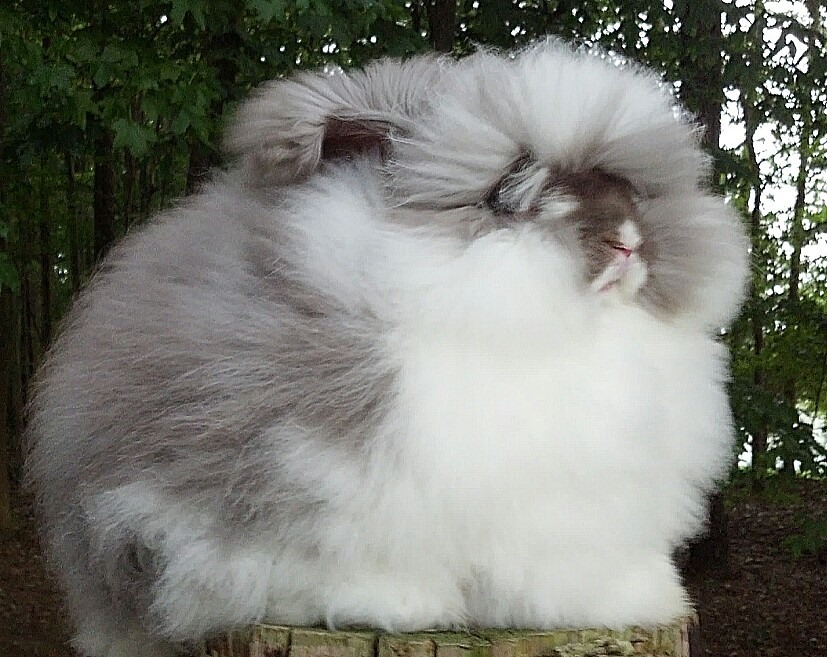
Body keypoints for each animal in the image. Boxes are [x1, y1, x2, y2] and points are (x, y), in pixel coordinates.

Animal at [25, 39, 749, 657]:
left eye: (626, 189)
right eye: (503, 196)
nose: (628, 241)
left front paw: (637, 600)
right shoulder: (312, 472)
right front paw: (391, 604)